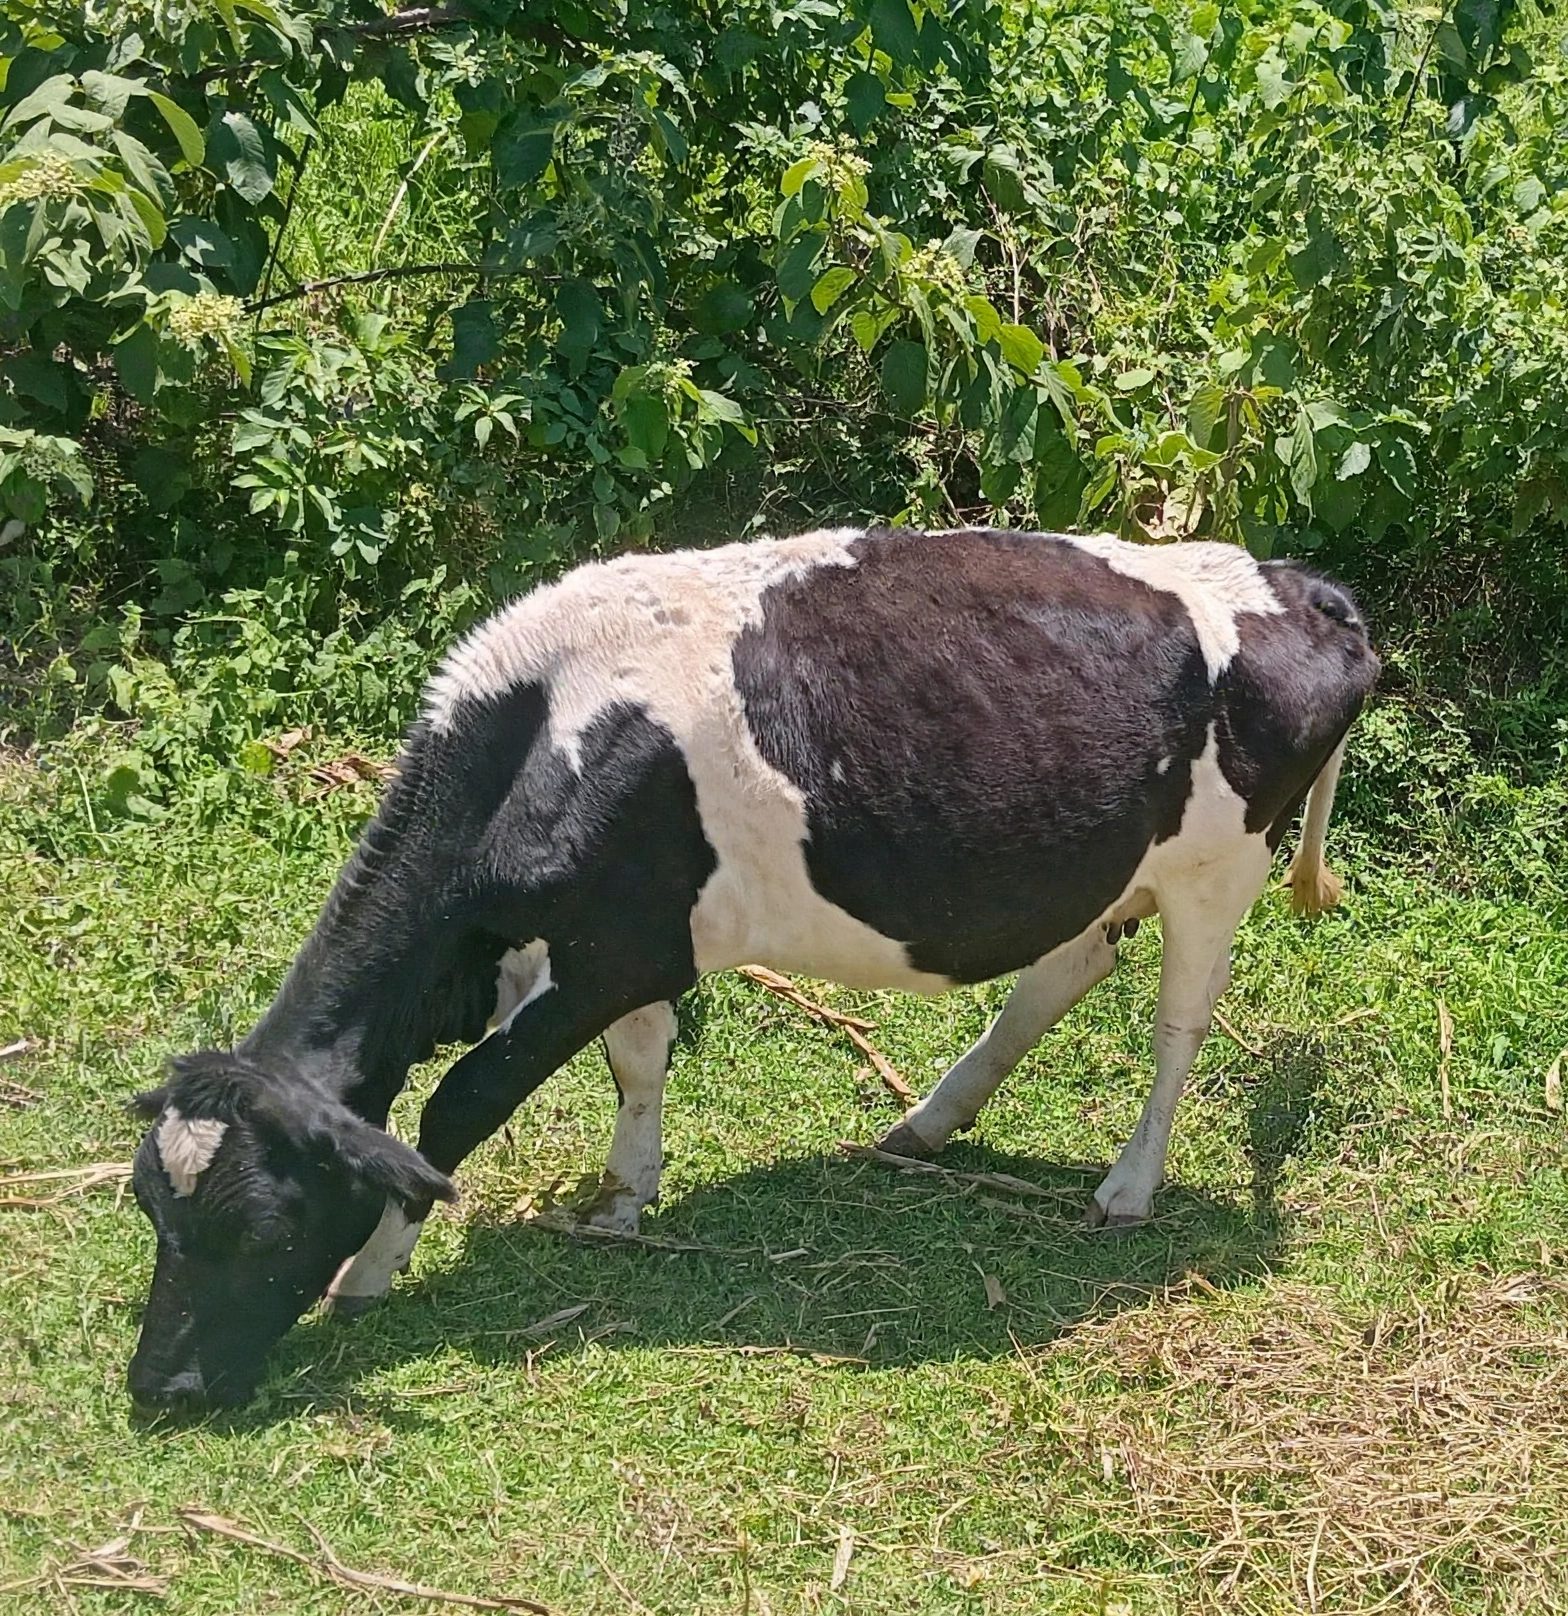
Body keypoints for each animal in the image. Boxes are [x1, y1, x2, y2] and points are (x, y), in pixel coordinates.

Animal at [126, 525, 1377, 1411]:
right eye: (149, 1203)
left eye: (260, 1224)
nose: (157, 1387)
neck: (554, 727)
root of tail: (1295, 583)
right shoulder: (625, 947)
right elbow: (639, 1060)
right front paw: (626, 1193)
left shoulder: (600, 953)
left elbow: (455, 1106)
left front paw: (370, 1272)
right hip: (1103, 868)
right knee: (1062, 967)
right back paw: (928, 1119)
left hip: (1218, 869)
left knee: (1177, 1025)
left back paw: (1126, 1184)